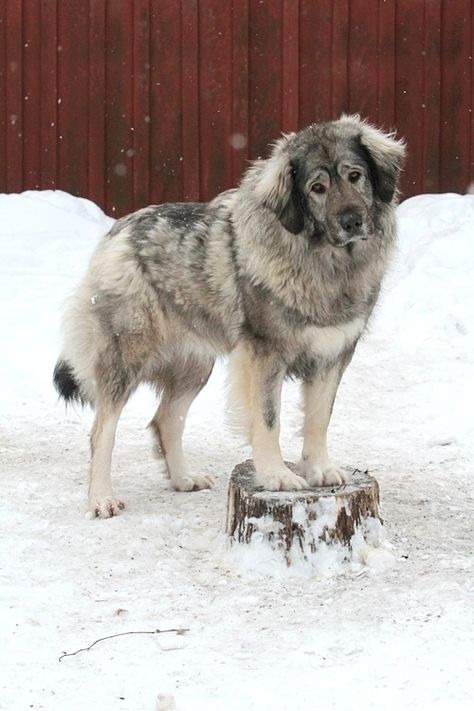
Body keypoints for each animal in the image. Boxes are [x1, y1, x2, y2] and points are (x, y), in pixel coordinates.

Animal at [53, 115, 406, 516]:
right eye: (317, 188)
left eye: (355, 176)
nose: (352, 221)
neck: (324, 263)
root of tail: (117, 232)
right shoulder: (265, 355)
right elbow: (269, 420)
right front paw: (277, 476)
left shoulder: (332, 355)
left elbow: (318, 419)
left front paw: (318, 468)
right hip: (126, 359)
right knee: (102, 432)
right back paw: (101, 498)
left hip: (194, 366)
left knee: (166, 420)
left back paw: (183, 479)